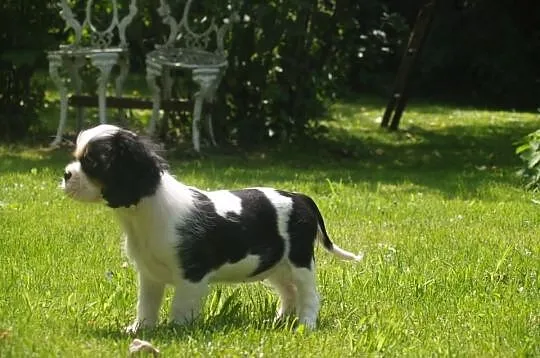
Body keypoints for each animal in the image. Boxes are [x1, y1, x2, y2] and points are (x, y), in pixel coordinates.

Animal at [63, 124, 362, 332]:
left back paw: (305, 324)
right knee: (288, 291)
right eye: (76, 157)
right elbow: (146, 305)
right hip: (274, 264)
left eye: (92, 163)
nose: (66, 174)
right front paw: (140, 329)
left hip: (300, 262)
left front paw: (175, 331)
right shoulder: (150, 275)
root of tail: (300, 197)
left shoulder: (191, 275)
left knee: (308, 294)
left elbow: (180, 307)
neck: (142, 213)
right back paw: (280, 320)